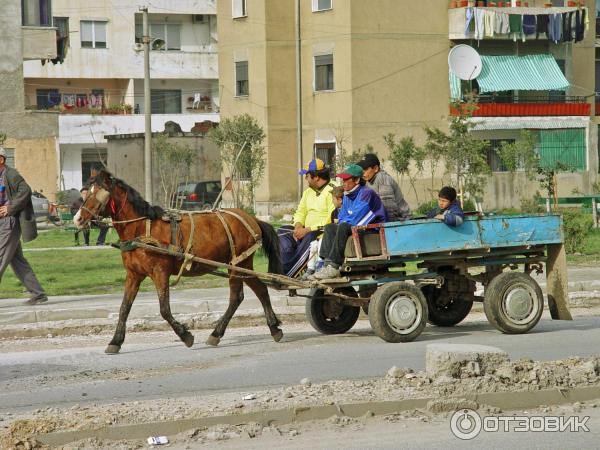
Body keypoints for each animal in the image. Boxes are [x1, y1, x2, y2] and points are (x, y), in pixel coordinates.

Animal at [72, 170, 284, 356]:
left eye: (97, 193)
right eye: (86, 192)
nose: (78, 219)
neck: (142, 228)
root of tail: (252, 218)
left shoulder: (160, 273)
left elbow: (164, 309)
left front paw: (185, 335)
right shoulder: (134, 275)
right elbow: (124, 308)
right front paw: (115, 341)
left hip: (239, 264)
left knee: (237, 297)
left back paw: (217, 333)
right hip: (243, 265)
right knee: (259, 290)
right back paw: (273, 328)